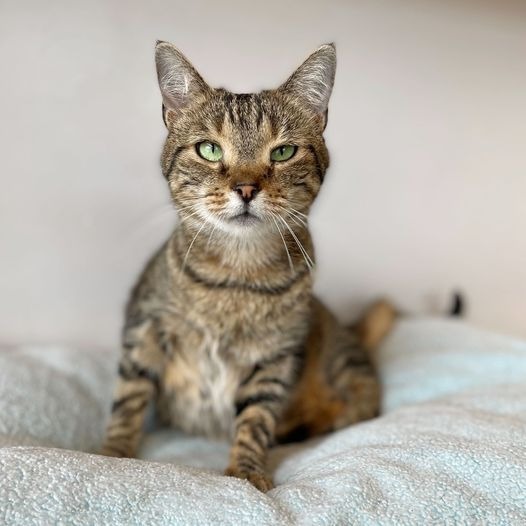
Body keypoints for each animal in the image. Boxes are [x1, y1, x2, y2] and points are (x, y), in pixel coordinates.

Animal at [100, 42, 396, 496]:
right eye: (209, 149)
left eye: (282, 151)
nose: (245, 188)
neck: (237, 276)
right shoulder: (144, 327)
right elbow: (128, 399)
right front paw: (112, 455)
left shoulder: (274, 359)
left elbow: (256, 418)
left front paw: (246, 469)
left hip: (346, 373)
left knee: (353, 406)